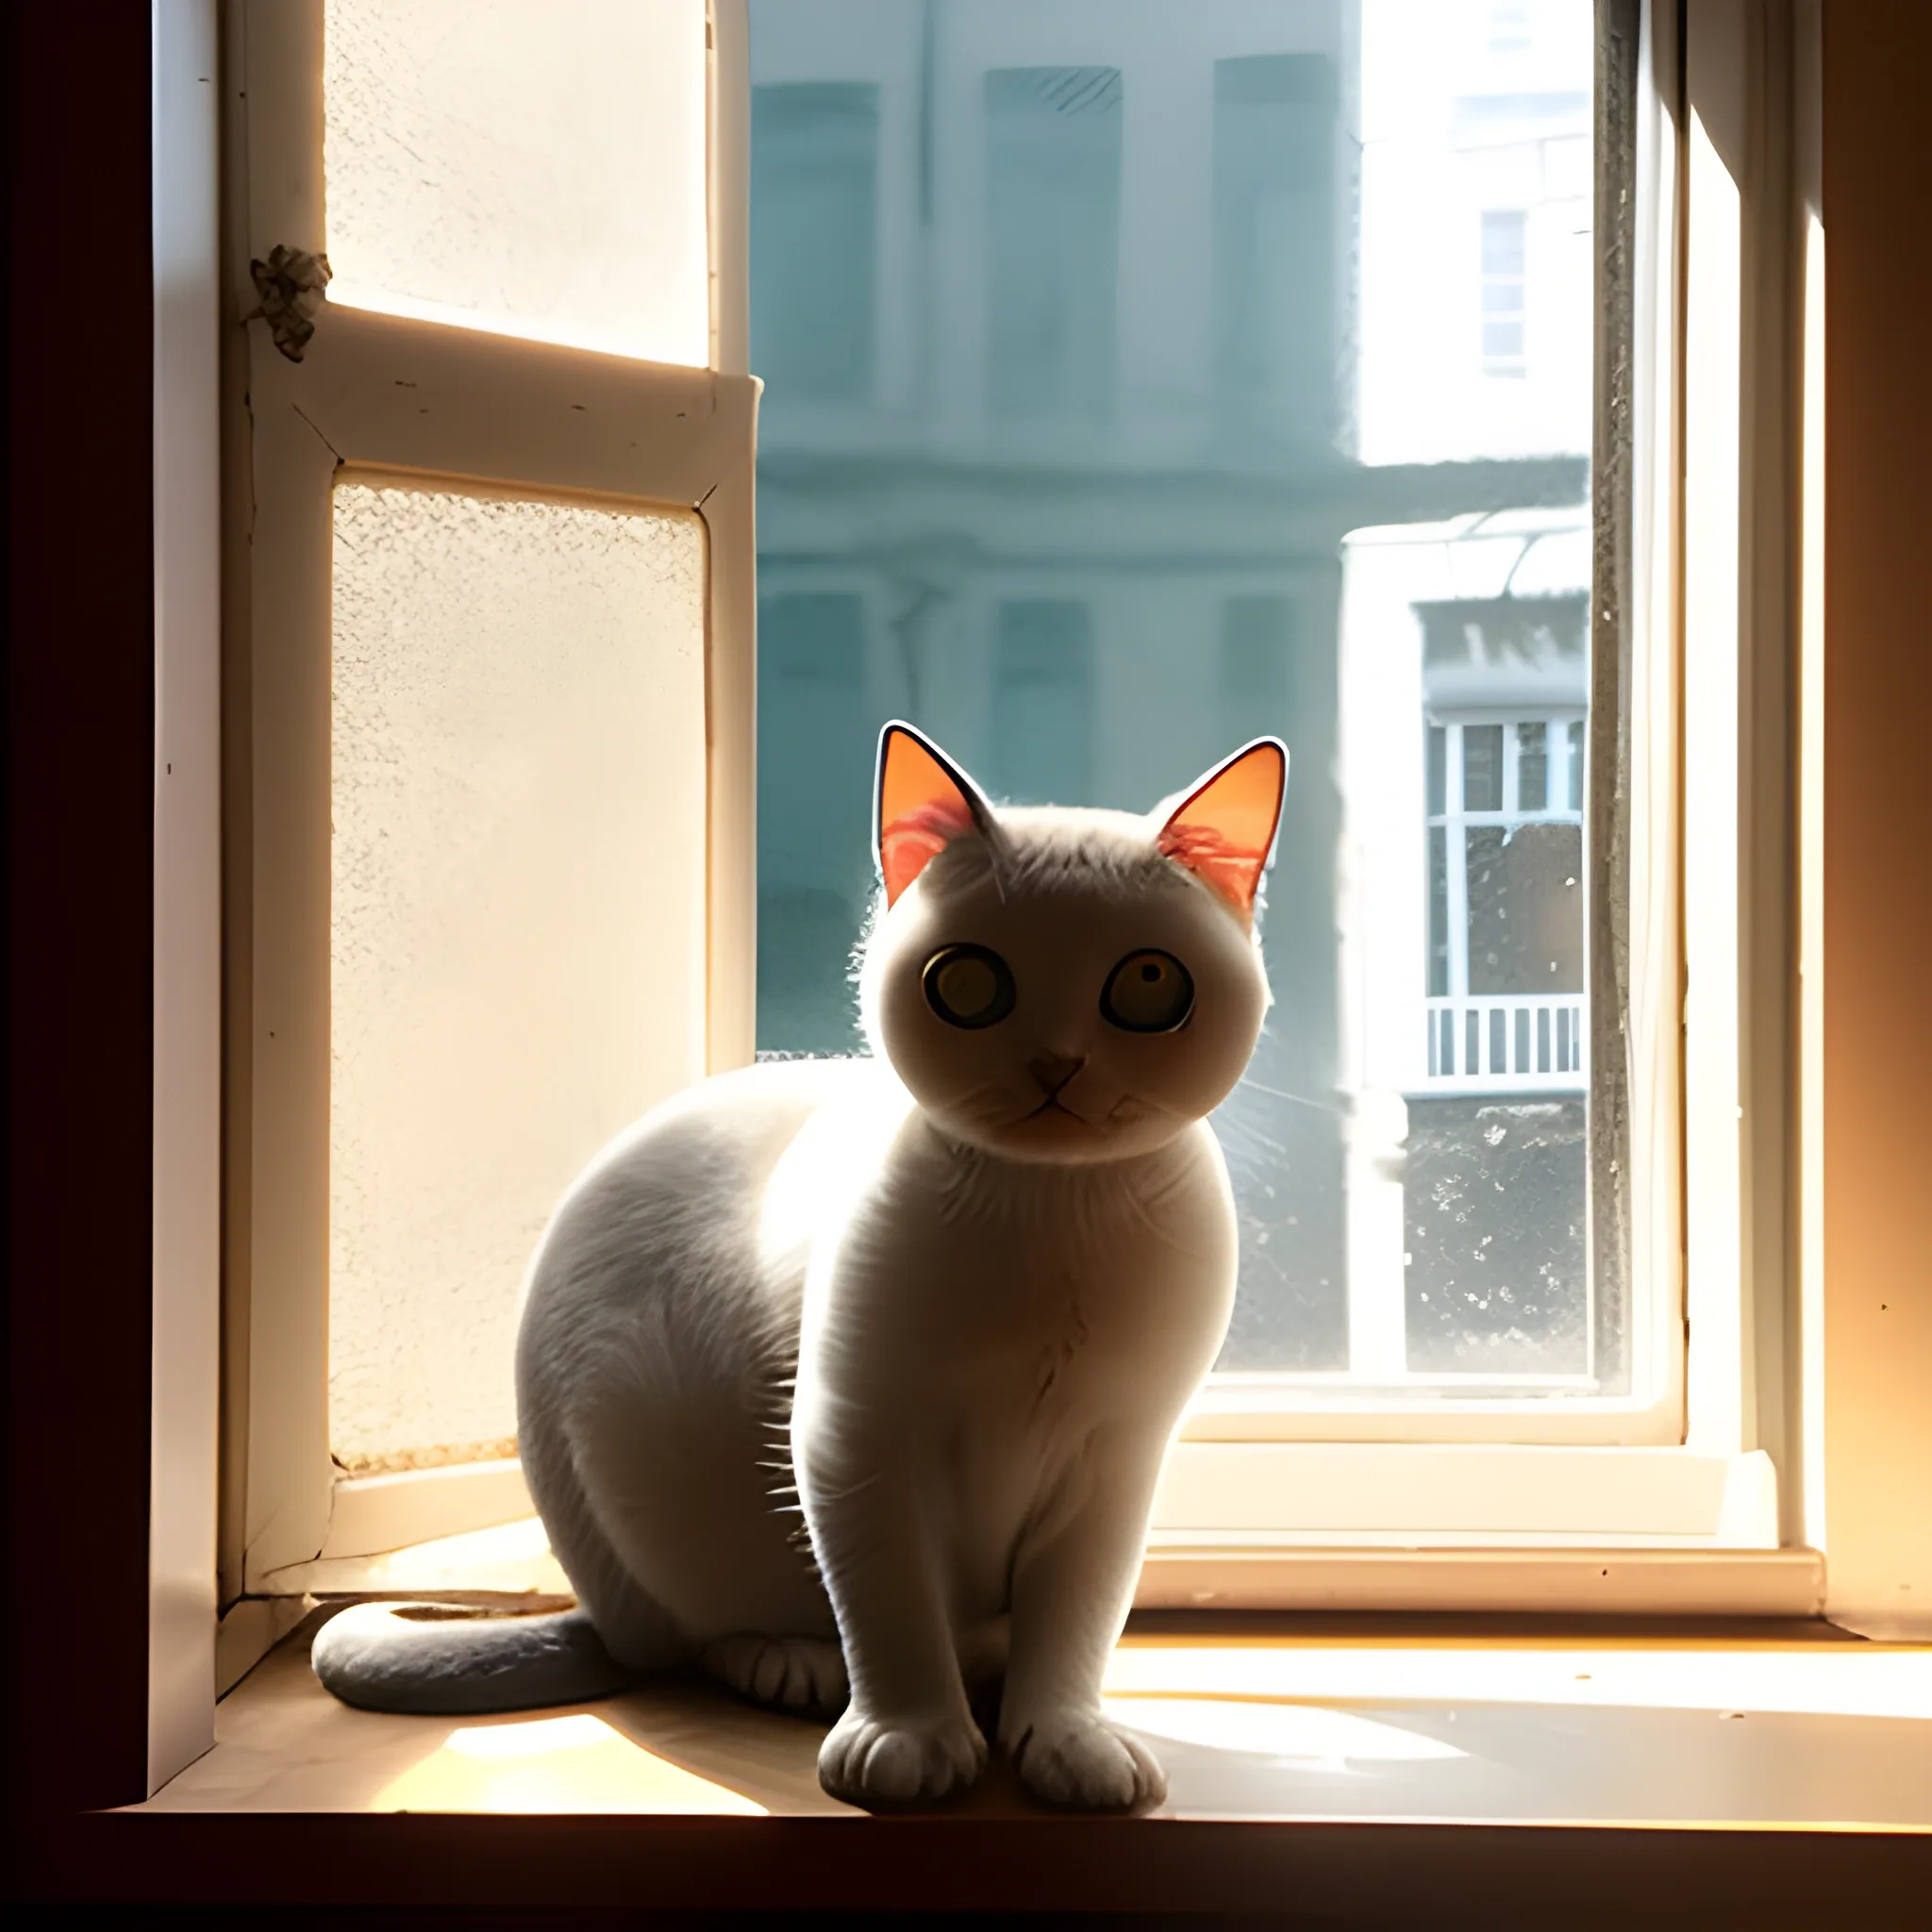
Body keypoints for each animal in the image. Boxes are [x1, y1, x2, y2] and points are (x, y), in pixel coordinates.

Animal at [316, 722, 1282, 1807]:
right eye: (970, 984)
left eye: (1148, 986)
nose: (1056, 1064)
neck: (1047, 1215)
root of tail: (600, 1611)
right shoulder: (857, 1439)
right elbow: (893, 1611)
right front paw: (908, 1746)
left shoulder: (1114, 1460)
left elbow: (1072, 1626)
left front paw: (1066, 1746)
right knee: (702, 1639)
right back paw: (796, 1666)